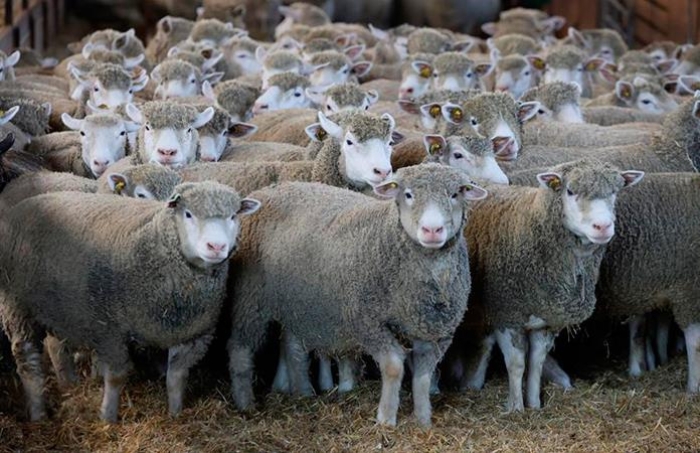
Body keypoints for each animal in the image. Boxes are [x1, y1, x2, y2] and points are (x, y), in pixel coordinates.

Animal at [0, 180, 262, 420]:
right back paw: (38, 414)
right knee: (28, 360)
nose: (216, 246)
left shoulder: (194, 336)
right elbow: (116, 377)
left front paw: (175, 414)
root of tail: (25, 204)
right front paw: (107, 417)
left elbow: (176, 377)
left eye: (233, 216)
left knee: (56, 345)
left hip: (58, 307)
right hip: (17, 307)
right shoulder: (109, 331)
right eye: (188, 214)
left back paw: (68, 383)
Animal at [228, 164, 486, 426]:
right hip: (250, 298)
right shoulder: (366, 320)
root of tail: (268, 190)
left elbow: (423, 376)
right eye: (408, 194)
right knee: (240, 348)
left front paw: (423, 420)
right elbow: (394, 366)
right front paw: (386, 418)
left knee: (293, 346)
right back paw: (246, 403)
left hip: (298, 303)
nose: (432, 230)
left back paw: (304, 392)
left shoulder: (435, 332)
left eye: (455, 194)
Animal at [462, 158, 644, 410]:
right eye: (570, 191)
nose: (603, 227)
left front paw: (534, 404)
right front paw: (516, 408)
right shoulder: (506, 313)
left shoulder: (547, 320)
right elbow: (517, 363)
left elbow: (536, 362)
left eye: (615, 192)